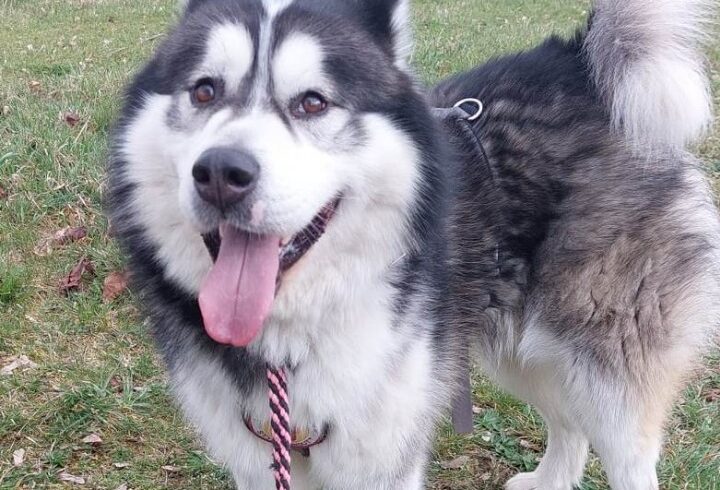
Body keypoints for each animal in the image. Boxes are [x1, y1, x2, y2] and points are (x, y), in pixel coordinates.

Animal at [107, 0, 720, 488]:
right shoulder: (261, 458)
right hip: (516, 348)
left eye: (312, 102)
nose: (220, 173)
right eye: (204, 90)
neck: (291, 339)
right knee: (568, 422)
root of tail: (576, 63)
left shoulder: (382, 458)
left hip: (607, 369)